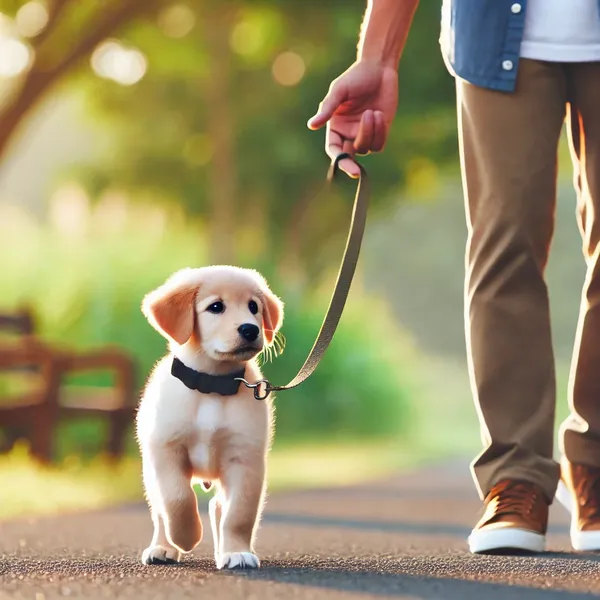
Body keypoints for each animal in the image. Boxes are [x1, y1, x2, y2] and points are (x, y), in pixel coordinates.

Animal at [136, 264, 284, 568]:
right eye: (216, 307)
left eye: (253, 306)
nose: (250, 329)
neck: (211, 384)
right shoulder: (167, 450)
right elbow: (177, 498)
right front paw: (186, 537)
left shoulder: (245, 459)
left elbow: (239, 514)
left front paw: (236, 552)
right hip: (150, 474)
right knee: (160, 513)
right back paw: (162, 547)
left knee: (219, 507)